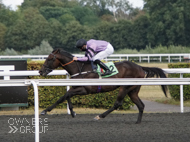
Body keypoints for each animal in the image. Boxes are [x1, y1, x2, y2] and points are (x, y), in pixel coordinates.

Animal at [39, 48, 167, 123]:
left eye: (49, 58)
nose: (40, 71)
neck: (80, 69)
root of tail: (140, 67)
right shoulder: (75, 87)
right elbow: (66, 95)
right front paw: (73, 112)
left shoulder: (84, 89)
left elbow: (64, 96)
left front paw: (45, 111)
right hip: (133, 90)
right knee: (141, 105)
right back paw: (137, 122)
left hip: (125, 87)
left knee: (117, 104)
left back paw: (100, 116)